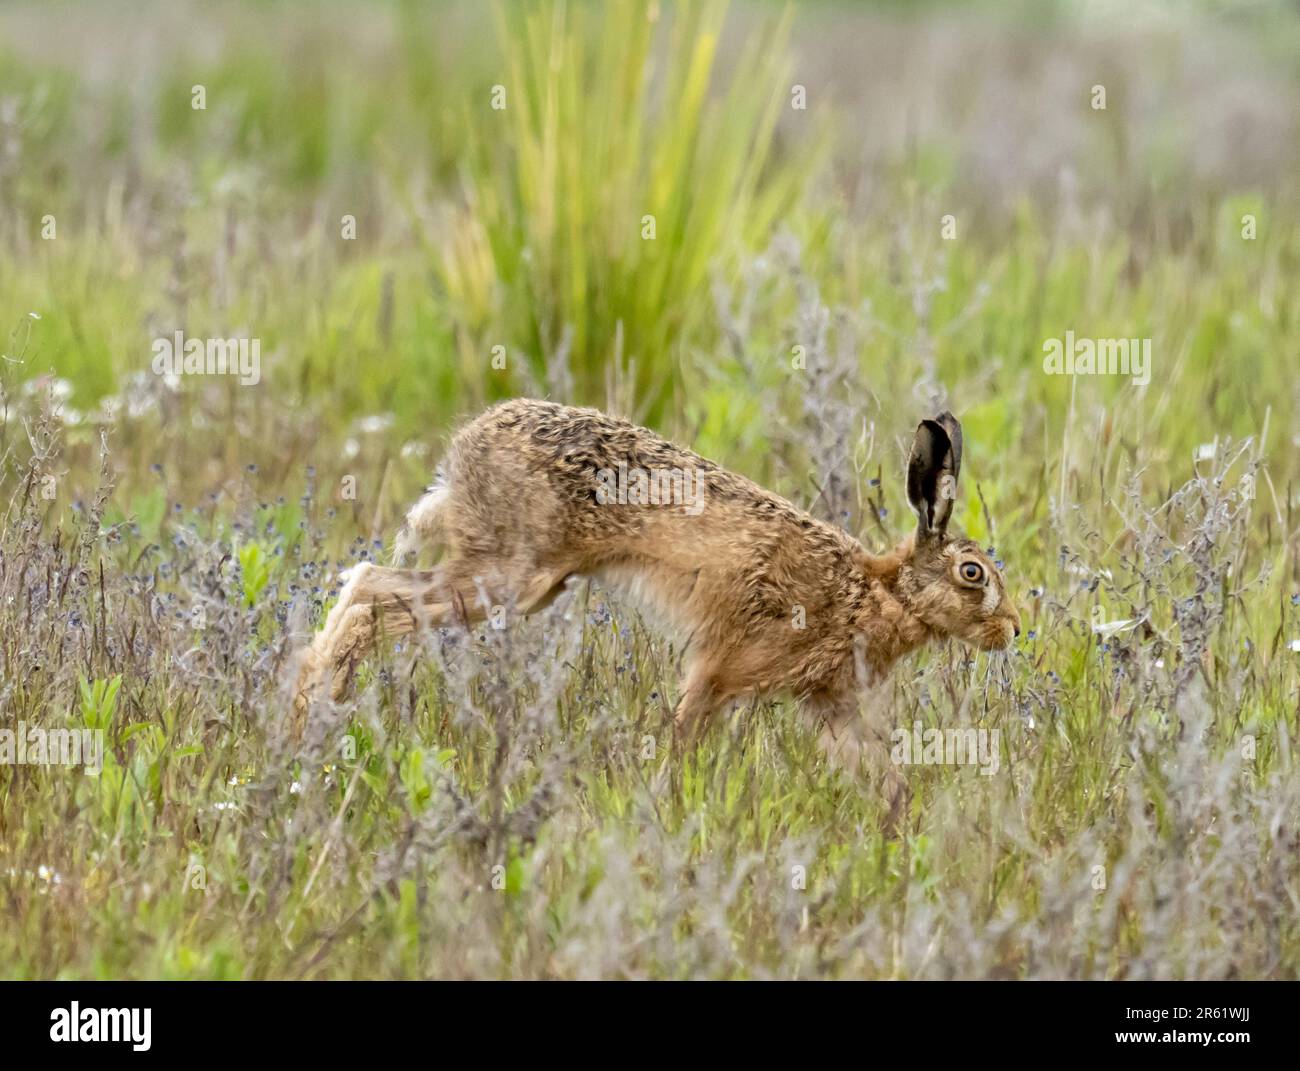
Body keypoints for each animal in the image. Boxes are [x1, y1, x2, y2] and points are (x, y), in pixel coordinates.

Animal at [293, 398, 1019, 819]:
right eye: (973, 573)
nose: (1013, 629)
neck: (875, 591)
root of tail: (465, 447)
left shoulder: (830, 704)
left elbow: (882, 773)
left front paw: (902, 830)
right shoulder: (720, 667)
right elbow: (684, 733)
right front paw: (667, 803)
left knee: (365, 582)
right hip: (511, 578)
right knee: (368, 598)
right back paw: (311, 707)